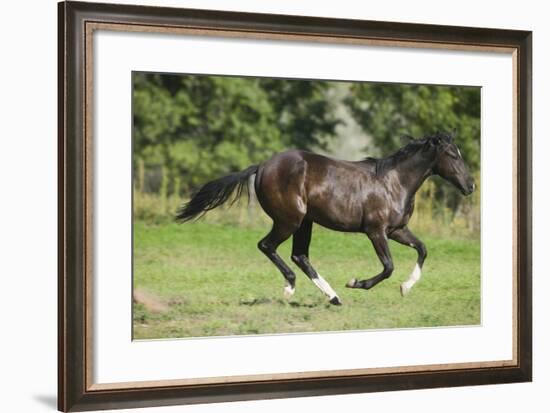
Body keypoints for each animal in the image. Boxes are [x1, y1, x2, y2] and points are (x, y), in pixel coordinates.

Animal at [177, 130, 474, 304]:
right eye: (452, 154)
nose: (470, 185)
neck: (395, 182)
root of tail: (262, 166)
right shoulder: (376, 231)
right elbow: (388, 266)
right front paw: (356, 283)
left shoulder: (397, 230)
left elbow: (422, 250)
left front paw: (406, 287)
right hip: (289, 220)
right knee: (268, 246)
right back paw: (291, 288)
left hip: (304, 222)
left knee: (299, 255)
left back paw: (333, 297)